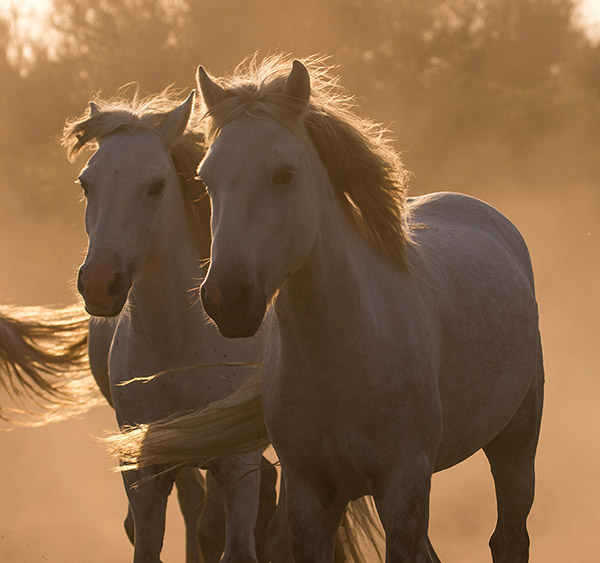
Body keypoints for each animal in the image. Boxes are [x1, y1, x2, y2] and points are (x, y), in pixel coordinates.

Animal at [62, 92, 276, 563]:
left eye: (156, 185)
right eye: (86, 184)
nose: (100, 283)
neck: (180, 349)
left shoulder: (236, 464)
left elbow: (231, 541)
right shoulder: (146, 471)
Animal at [195, 58, 548, 563]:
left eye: (284, 174)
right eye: (206, 179)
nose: (227, 299)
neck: (344, 353)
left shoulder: (403, 485)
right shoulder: (310, 496)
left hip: (516, 441)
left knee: (509, 537)